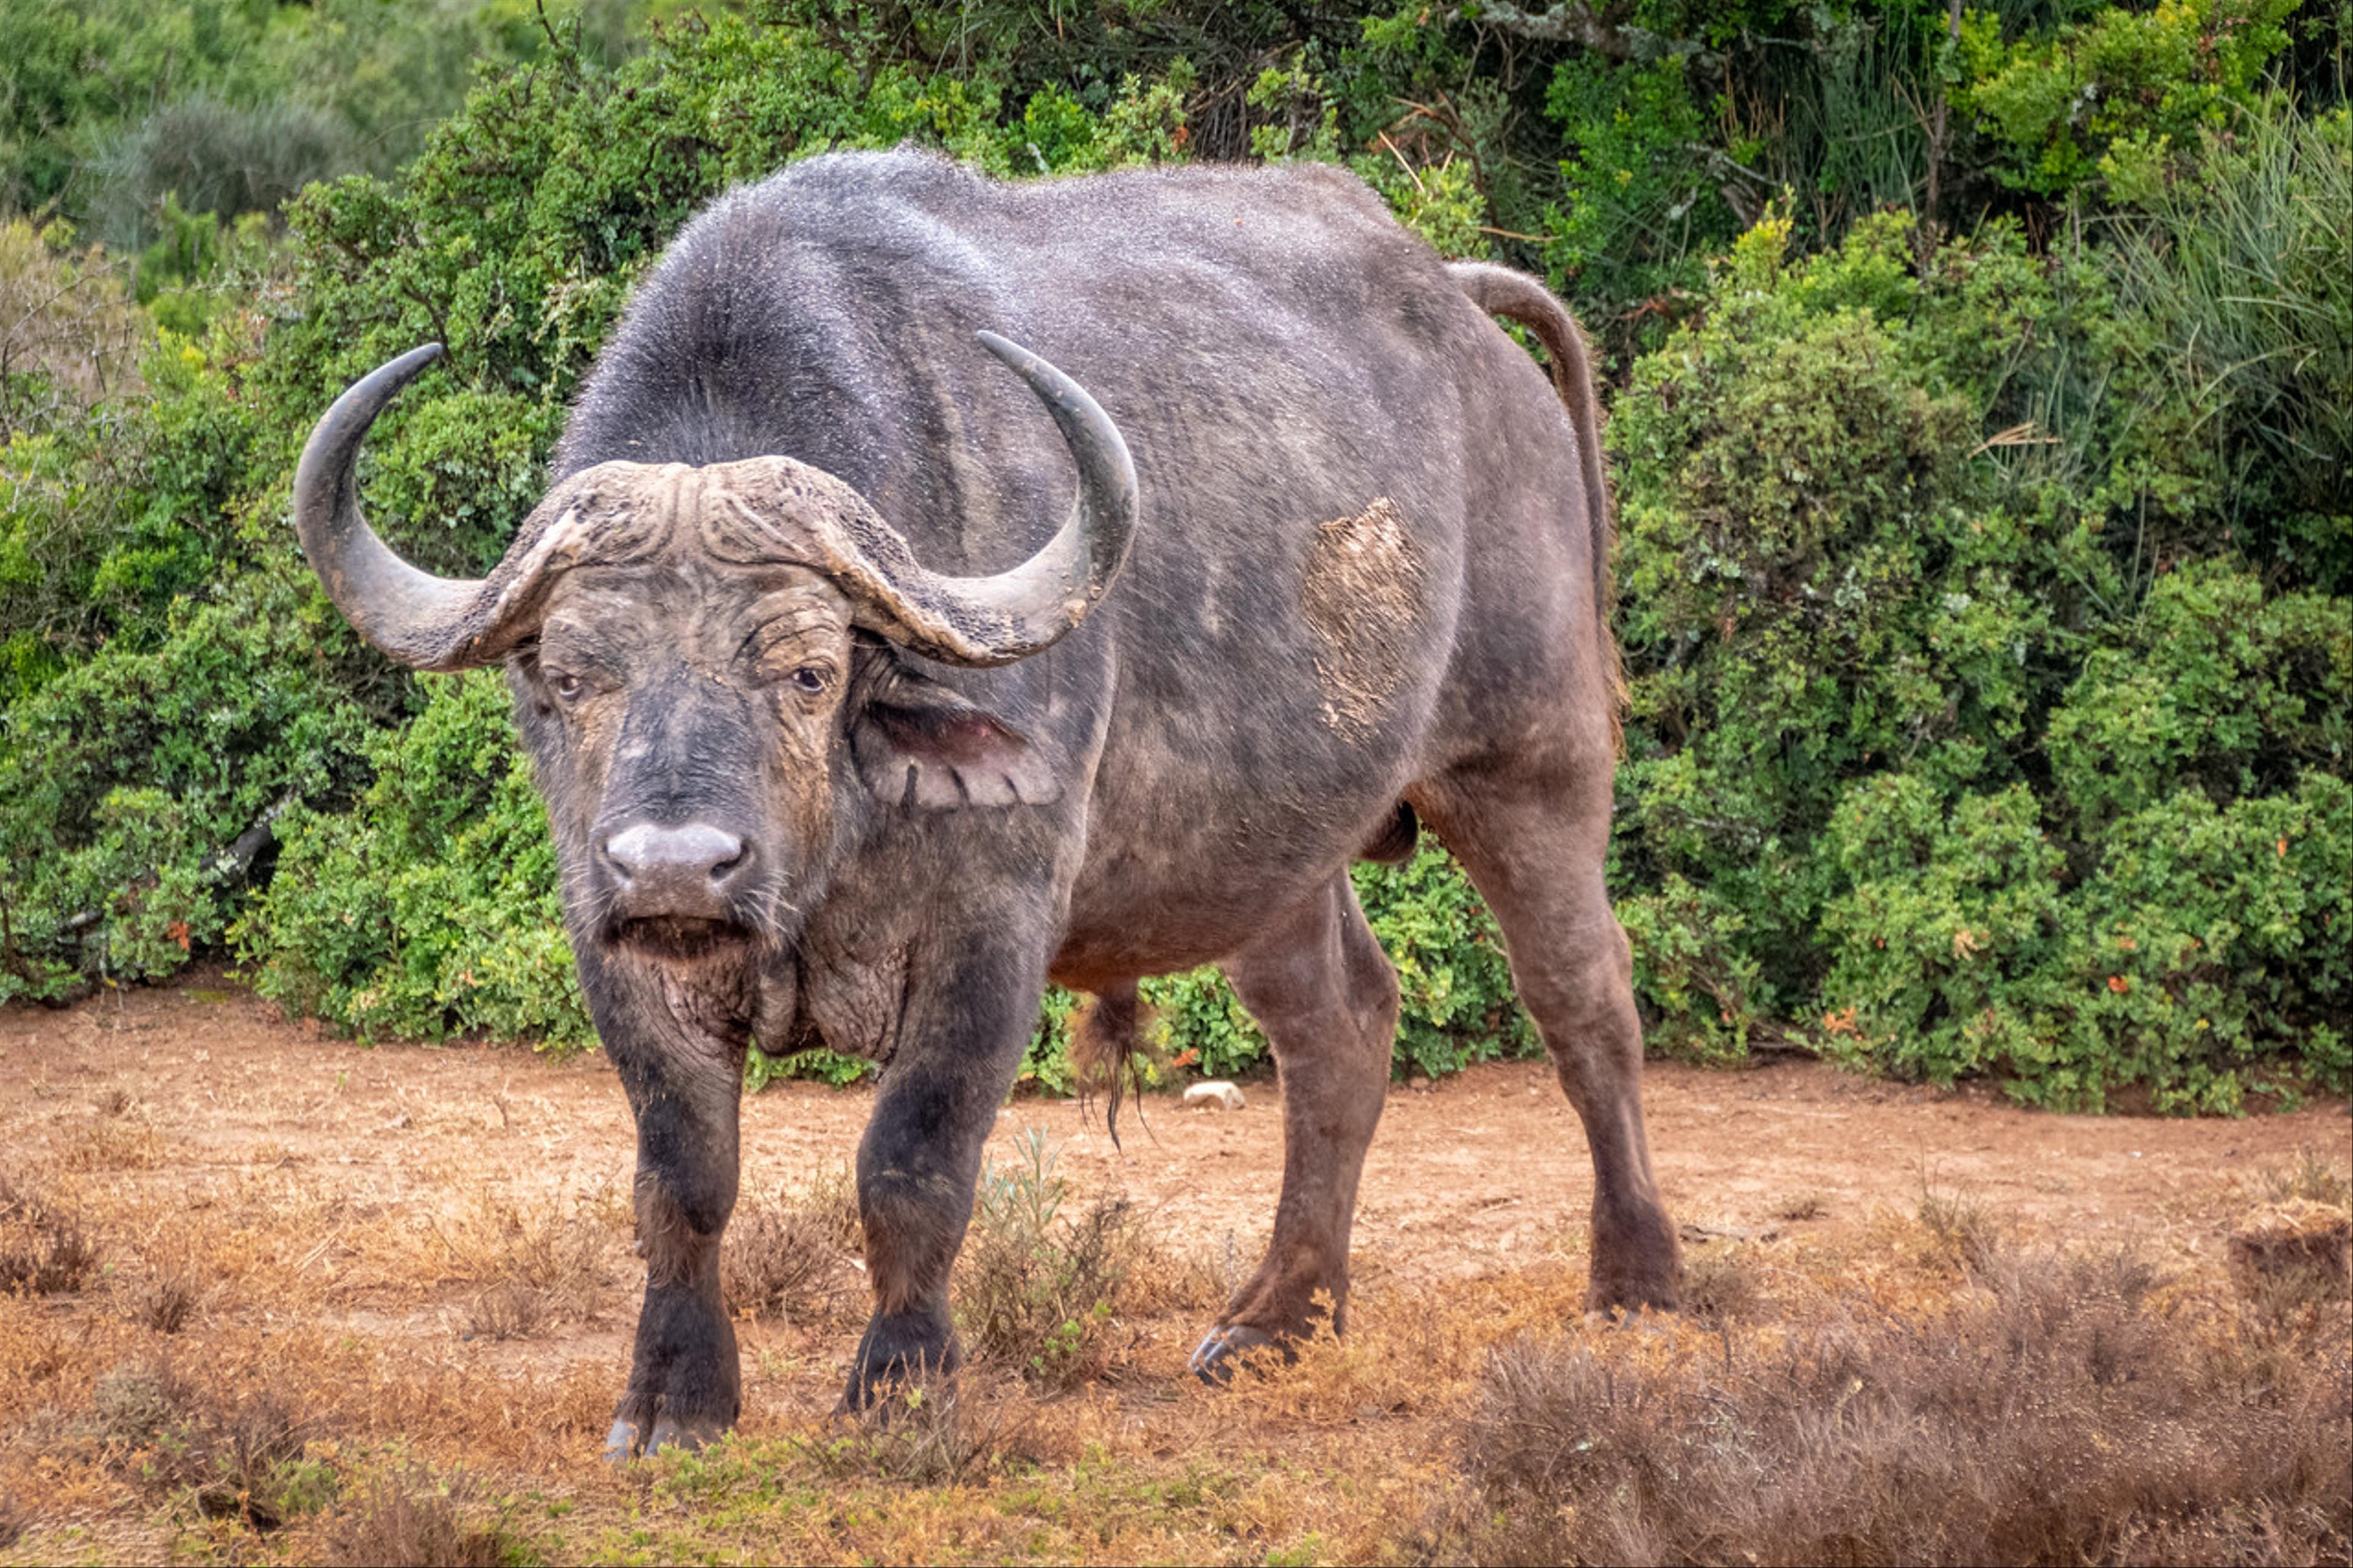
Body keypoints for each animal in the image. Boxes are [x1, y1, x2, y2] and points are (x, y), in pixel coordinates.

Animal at [294, 149, 1684, 1450]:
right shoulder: (619, 945)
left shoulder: (993, 929)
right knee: (1337, 1023)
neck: (830, 847)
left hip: (1532, 759)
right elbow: (680, 1177)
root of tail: (1462, 312)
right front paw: (674, 1399)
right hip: (1267, 850)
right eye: (574, 674)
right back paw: (1277, 1319)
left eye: (808, 671)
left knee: (1584, 997)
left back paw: (1639, 1279)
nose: (679, 866)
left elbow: (913, 1166)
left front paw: (900, 1391)